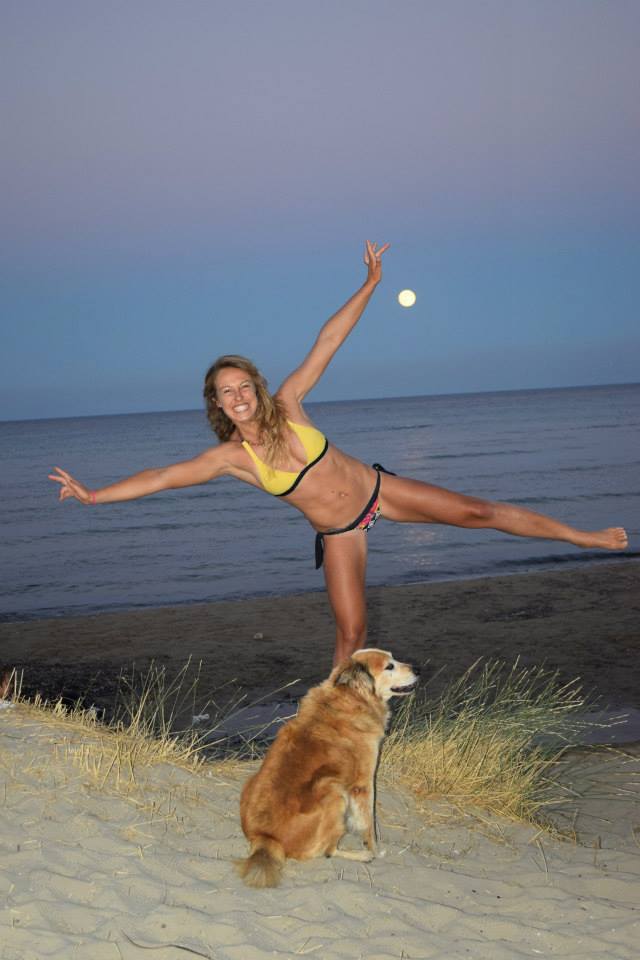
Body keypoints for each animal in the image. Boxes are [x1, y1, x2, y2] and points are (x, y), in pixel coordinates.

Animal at [238, 648, 418, 888]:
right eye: (389, 666)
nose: (417, 669)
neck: (352, 697)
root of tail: (265, 837)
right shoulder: (364, 784)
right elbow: (368, 824)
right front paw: (374, 850)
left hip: (251, 780)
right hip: (334, 792)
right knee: (327, 851)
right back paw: (362, 856)